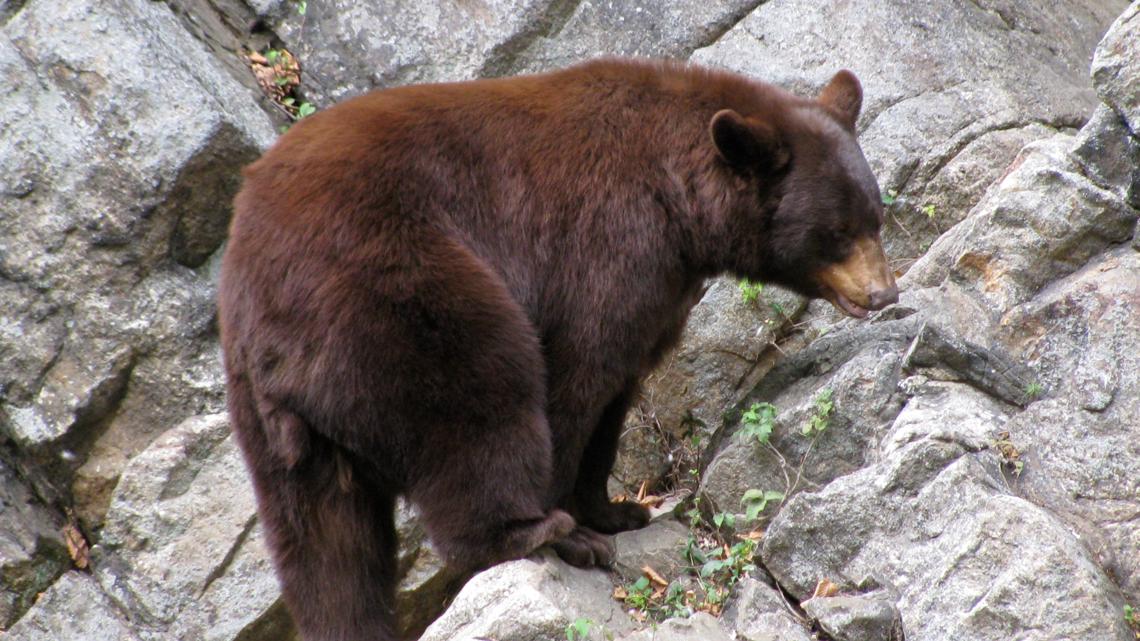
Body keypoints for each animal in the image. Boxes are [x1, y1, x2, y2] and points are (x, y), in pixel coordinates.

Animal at [217, 58, 897, 641]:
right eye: (837, 232)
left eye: (876, 216)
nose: (884, 293)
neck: (676, 199)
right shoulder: (609, 246)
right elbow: (579, 377)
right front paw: (580, 523)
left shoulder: (657, 290)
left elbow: (616, 396)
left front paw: (615, 510)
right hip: (389, 297)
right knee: (482, 386)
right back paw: (535, 532)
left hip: (272, 418)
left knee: (322, 541)